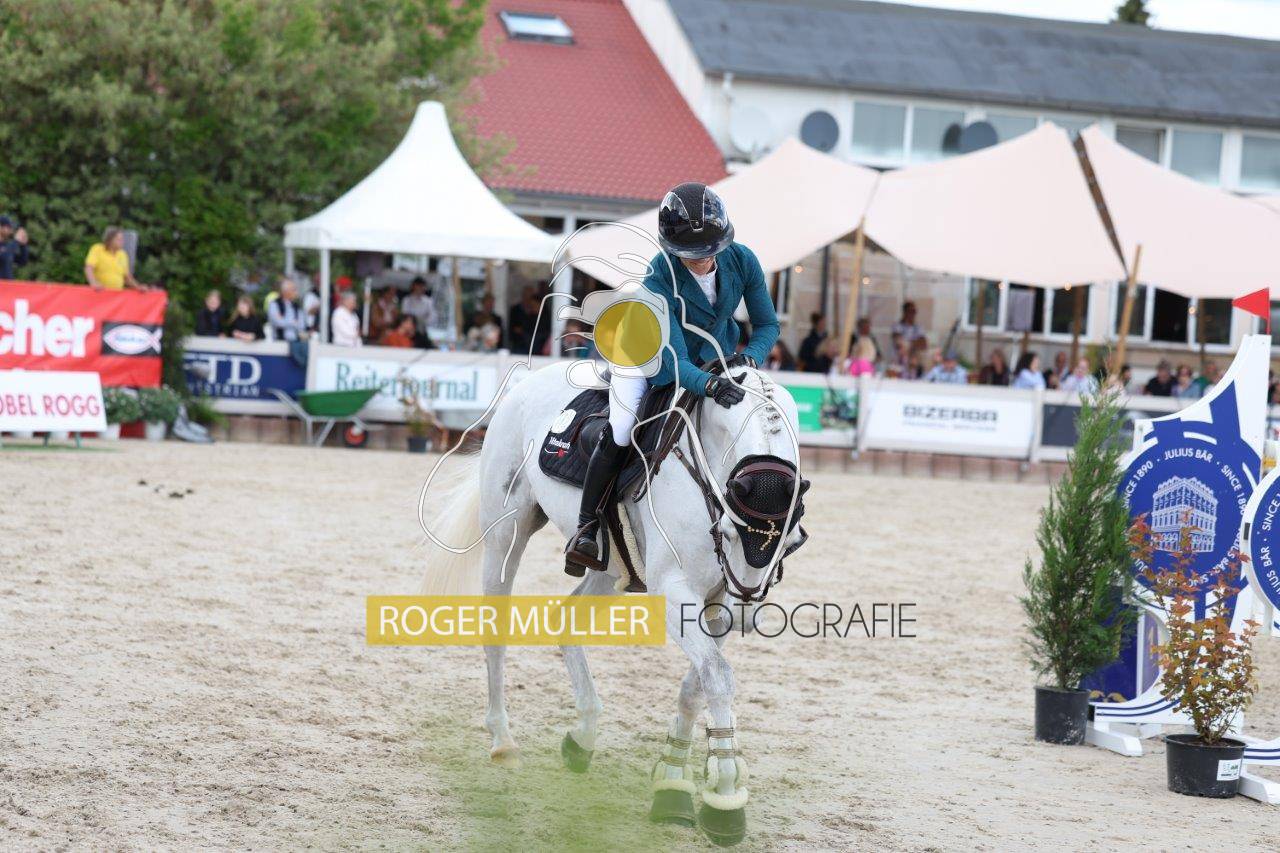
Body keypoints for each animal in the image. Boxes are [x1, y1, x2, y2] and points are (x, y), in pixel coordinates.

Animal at [420, 359, 808, 846]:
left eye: (791, 540)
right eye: (732, 532)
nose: (747, 605)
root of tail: (529, 381)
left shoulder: (715, 601)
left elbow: (698, 683)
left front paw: (673, 780)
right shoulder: (675, 589)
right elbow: (716, 676)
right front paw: (724, 797)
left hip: (609, 571)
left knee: (565, 620)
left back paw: (582, 736)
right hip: (506, 534)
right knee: (496, 630)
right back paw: (503, 740)